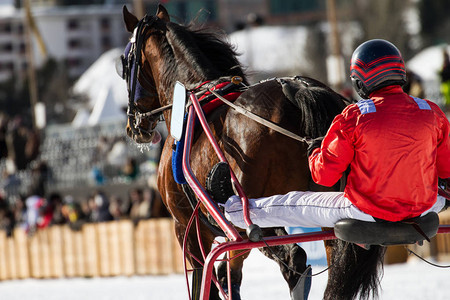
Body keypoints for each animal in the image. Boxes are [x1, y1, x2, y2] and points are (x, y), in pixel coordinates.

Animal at [118, 4, 384, 300]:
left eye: (124, 63)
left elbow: (211, 279)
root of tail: (295, 91)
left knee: (286, 257)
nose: (133, 127)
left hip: (247, 218)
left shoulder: (187, 227)